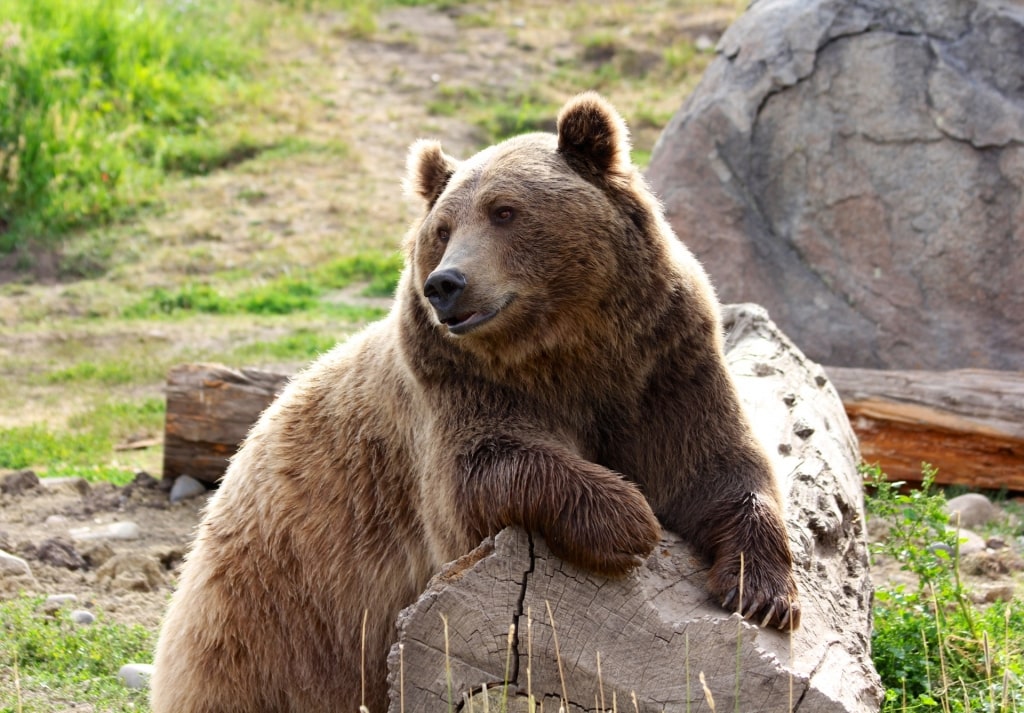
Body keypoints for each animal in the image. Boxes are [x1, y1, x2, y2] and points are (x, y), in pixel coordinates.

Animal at [149, 93, 798, 713]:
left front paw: (762, 593)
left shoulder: (663, 368)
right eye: (441, 229)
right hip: (274, 615)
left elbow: (716, 468)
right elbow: (481, 473)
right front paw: (628, 518)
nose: (445, 284)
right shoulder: (456, 389)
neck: (567, 350)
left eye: (504, 211)